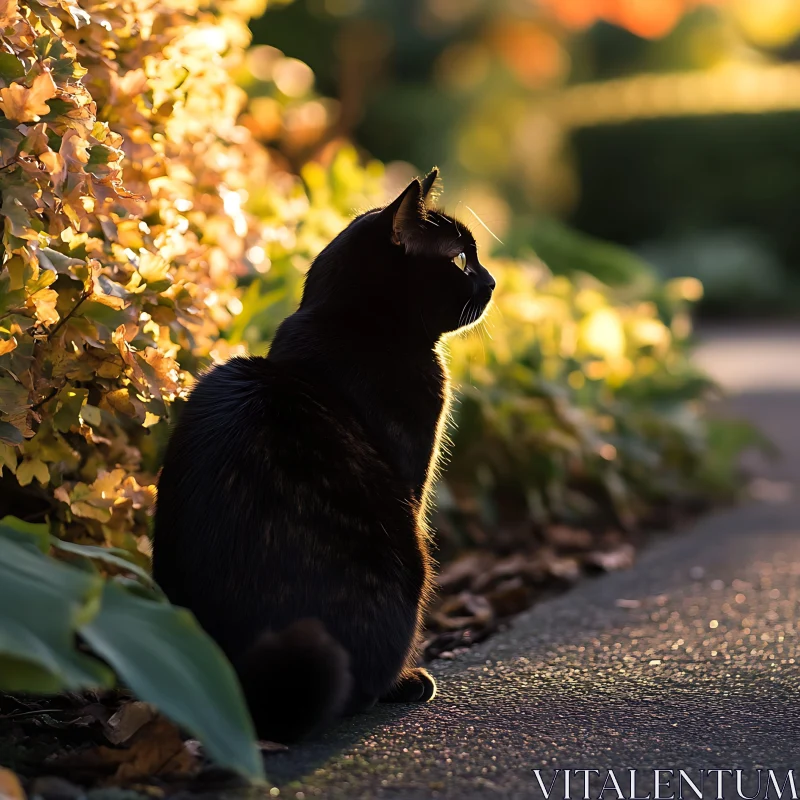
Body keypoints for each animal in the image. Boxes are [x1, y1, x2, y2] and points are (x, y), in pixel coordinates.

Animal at [152, 170, 494, 744]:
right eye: (460, 259)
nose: (491, 280)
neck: (351, 323)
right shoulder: (412, 480)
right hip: (411, 556)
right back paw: (400, 684)